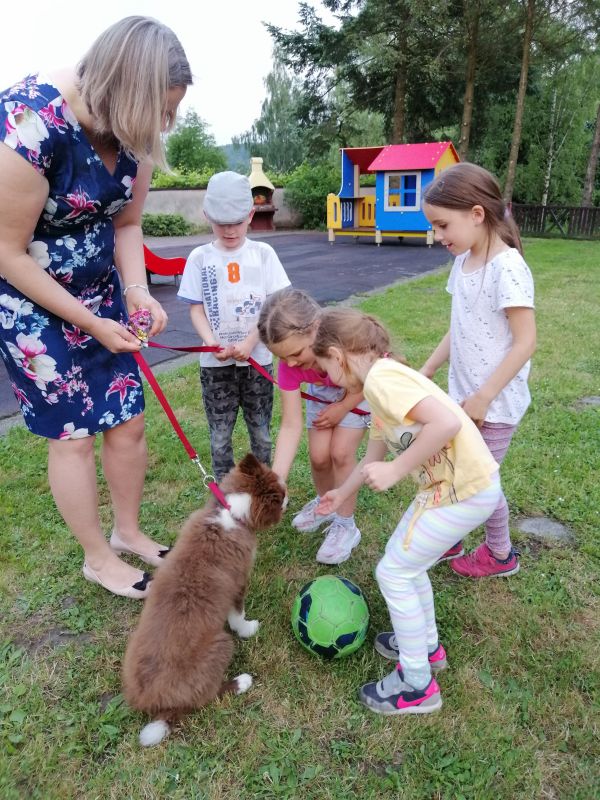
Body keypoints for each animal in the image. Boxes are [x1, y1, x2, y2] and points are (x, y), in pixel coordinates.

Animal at [121, 454, 286, 748]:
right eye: (281, 496)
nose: (289, 498)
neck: (230, 512)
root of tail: (152, 701)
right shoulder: (238, 583)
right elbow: (238, 615)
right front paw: (249, 629)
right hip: (221, 644)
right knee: (207, 697)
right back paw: (241, 682)